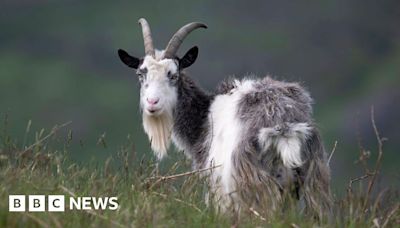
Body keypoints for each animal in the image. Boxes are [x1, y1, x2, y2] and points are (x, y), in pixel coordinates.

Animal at [117, 17, 332, 217]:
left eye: (173, 74)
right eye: (140, 74)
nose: (152, 102)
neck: (204, 118)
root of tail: (283, 126)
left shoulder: (217, 189)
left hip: (252, 186)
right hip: (313, 182)